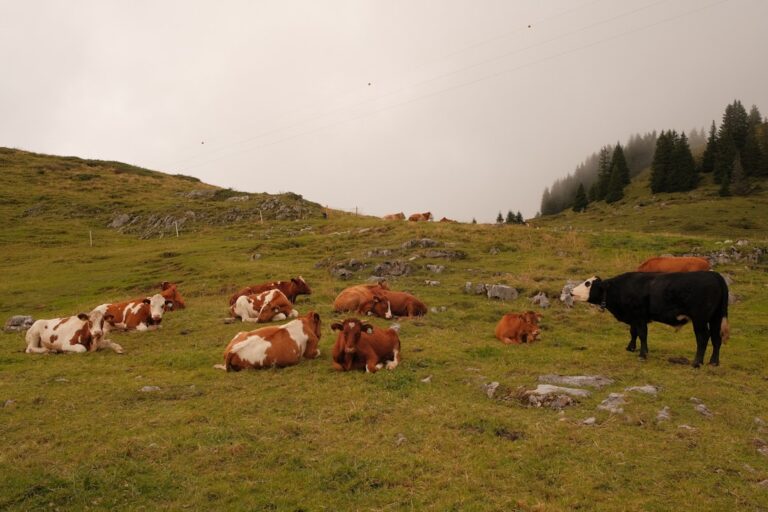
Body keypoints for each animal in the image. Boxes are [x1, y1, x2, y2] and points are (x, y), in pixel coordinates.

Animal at [570, 271, 730, 367]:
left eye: (588, 283)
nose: (571, 291)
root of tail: (714, 275)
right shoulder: (634, 318)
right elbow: (633, 332)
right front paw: (631, 348)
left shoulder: (639, 316)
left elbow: (642, 334)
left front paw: (642, 354)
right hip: (716, 317)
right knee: (716, 338)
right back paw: (713, 362)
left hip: (700, 319)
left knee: (703, 337)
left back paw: (697, 362)